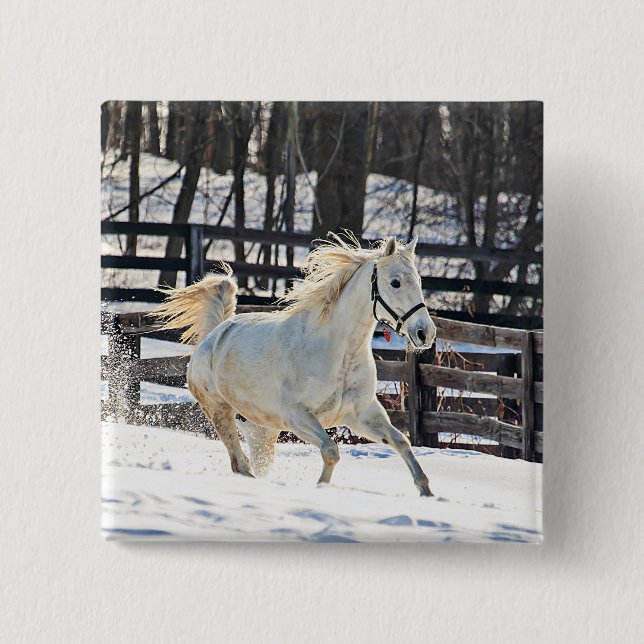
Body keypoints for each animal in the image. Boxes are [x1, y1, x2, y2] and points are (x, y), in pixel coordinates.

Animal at [154, 233, 437, 496]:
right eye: (395, 282)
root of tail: (214, 335)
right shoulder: (297, 416)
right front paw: (320, 487)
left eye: (419, 281)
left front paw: (426, 492)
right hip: (219, 411)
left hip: (262, 429)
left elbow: (401, 441)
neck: (339, 355)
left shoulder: (362, 415)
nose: (425, 333)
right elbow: (330, 450)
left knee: (253, 462)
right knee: (239, 463)